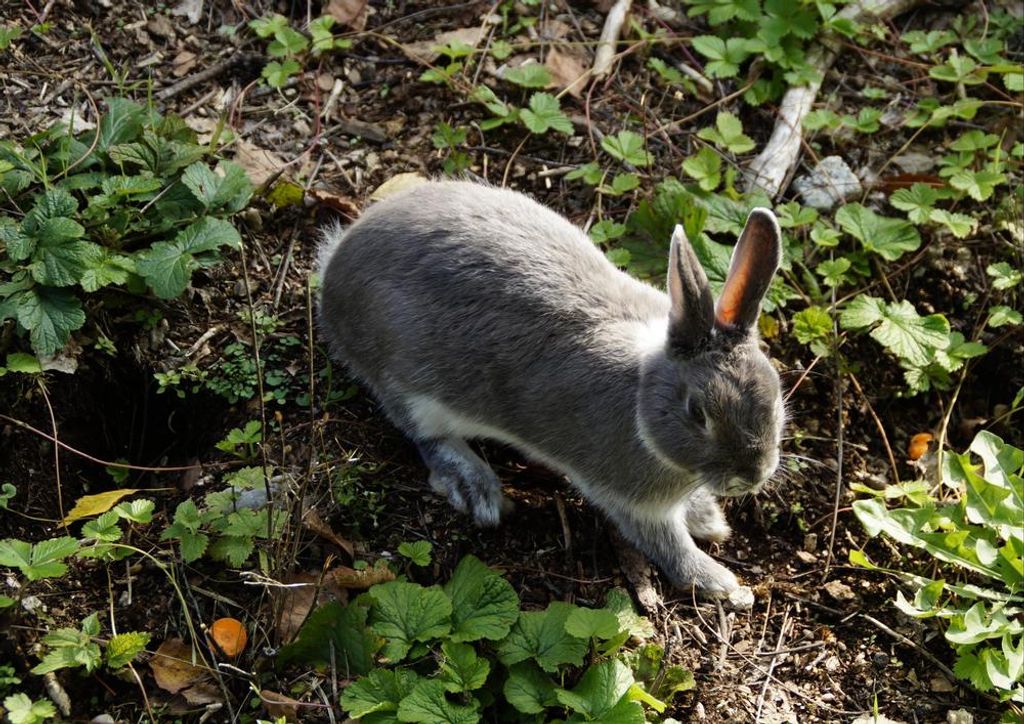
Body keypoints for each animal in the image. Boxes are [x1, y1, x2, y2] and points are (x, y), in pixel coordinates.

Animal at [317, 180, 784, 596]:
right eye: (697, 413)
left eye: (777, 395)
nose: (752, 475)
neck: (642, 395)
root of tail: (334, 277)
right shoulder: (630, 500)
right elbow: (667, 546)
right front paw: (720, 583)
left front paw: (708, 519)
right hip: (413, 390)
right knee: (425, 436)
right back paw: (476, 485)